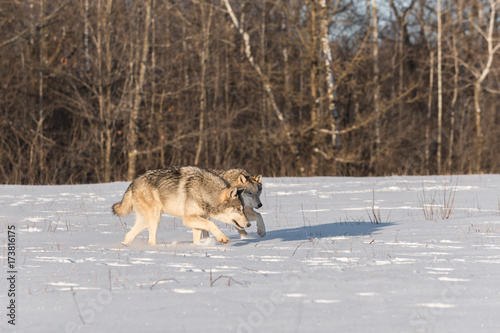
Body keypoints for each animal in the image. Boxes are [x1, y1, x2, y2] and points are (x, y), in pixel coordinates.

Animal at [111, 165, 248, 244]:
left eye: (243, 209)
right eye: (238, 209)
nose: (249, 224)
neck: (204, 191)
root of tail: (133, 182)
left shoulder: (198, 219)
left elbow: (198, 237)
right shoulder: (188, 219)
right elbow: (212, 224)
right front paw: (222, 238)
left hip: (146, 221)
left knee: (129, 234)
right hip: (155, 218)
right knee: (151, 241)